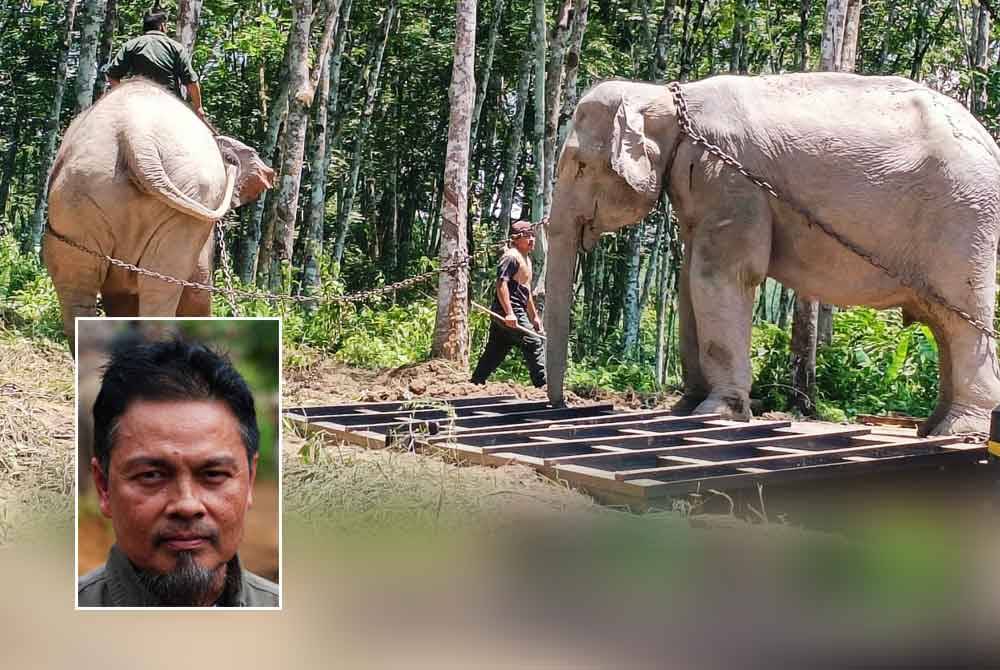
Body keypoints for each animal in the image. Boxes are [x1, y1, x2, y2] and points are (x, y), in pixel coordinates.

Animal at [548, 73, 1000, 438]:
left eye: (579, 165)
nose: (562, 406)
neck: (670, 97)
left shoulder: (730, 178)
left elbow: (721, 275)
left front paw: (715, 413)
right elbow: (688, 281)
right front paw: (684, 408)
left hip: (963, 217)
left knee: (961, 318)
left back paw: (959, 431)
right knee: (943, 322)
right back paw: (931, 429)